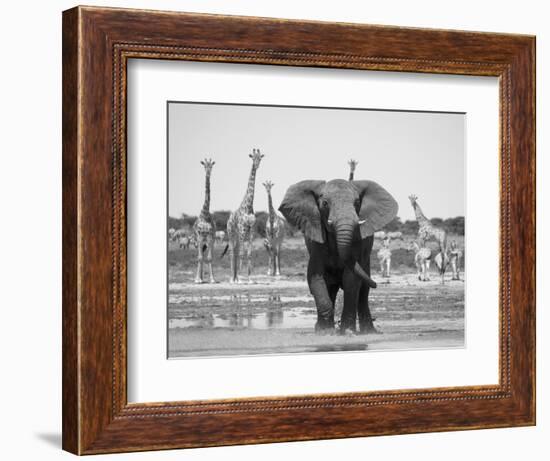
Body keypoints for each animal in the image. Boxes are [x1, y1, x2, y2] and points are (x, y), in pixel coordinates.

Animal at [226, 149, 266, 282]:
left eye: (260, 158)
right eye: (253, 157)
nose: (257, 165)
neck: (248, 206)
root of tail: (228, 219)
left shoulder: (251, 229)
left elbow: (249, 253)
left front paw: (250, 278)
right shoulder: (243, 229)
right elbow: (242, 253)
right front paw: (239, 278)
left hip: (237, 235)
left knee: (236, 251)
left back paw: (234, 277)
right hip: (231, 233)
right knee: (232, 252)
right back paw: (232, 279)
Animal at [282, 178, 398, 332]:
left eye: (357, 202)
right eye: (325, 203)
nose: (377, 284)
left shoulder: (357, 241)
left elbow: (351, 279)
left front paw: (347, 332)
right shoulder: (317, 241)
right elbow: (315, 276)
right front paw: (324, 332)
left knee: (363, 292)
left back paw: (368, 331)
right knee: (331, 287)